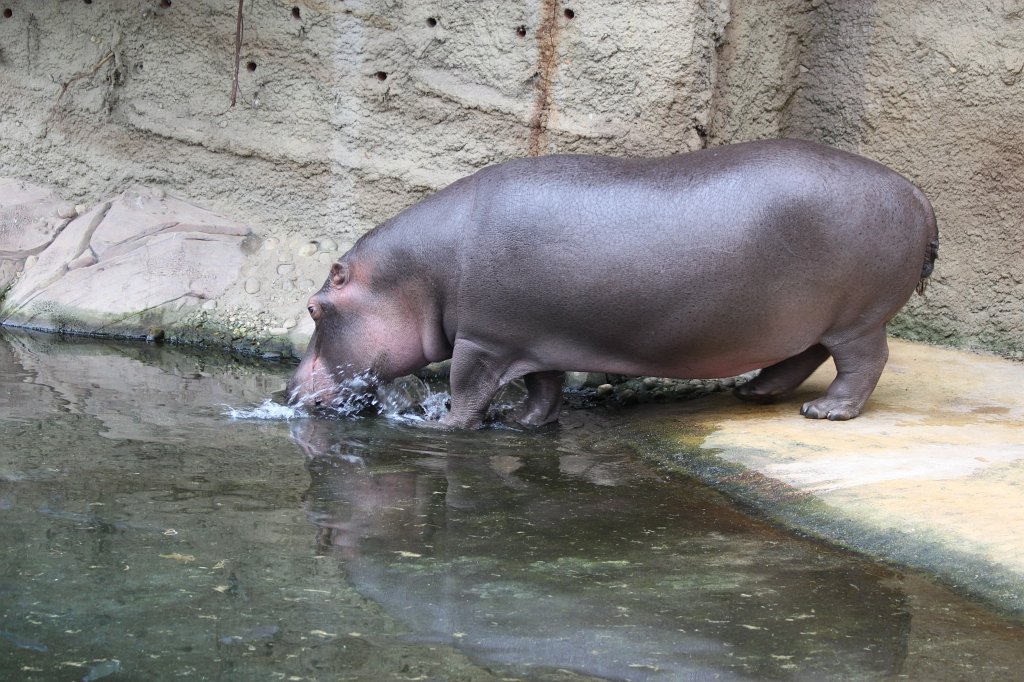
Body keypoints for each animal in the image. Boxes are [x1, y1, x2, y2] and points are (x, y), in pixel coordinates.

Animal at [288, 139, 938, 429]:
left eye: (315, 308)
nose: (288, 393)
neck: (418, 274)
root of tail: (917, 191)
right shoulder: (533, 336)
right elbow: (544, 387)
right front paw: (526, 425)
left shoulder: (484, 340)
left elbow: (467, 388)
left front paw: (445, 425)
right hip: (809, 319)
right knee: (800, 356)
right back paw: (754, 394)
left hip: (858, 317)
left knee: (863, 363)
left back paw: (827, 413)